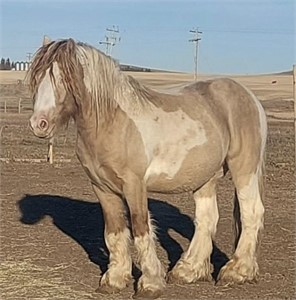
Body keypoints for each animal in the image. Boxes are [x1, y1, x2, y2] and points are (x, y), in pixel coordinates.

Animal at [28, 37, 268, 298]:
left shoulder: (134, 185)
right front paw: (114, 279)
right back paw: (188, 271)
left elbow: (141, 229)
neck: (113, 122)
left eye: (64, 77)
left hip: (244, 169)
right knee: (207, 218)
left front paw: (150, 283)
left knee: (251, 212)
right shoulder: (102, 187)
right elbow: (114, 232)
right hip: (205, 177)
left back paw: (237, 272)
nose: (39, 124)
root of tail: (250, 97)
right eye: (37, 76)